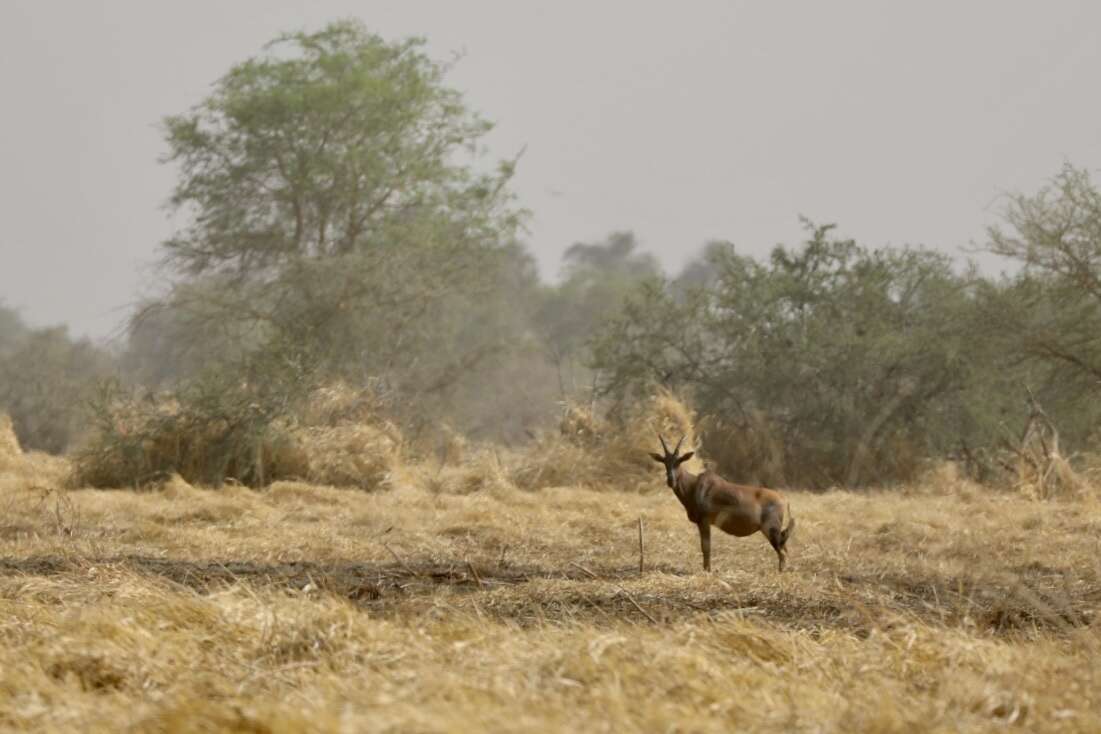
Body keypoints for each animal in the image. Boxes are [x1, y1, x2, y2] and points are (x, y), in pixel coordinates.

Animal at [647, 435, 797, 572]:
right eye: (664, 462)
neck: (695, 485)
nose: (670, 481)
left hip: (771, 529)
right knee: (784, 549)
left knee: (782, 552)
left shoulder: (705, 521)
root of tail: (783, 499)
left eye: (679, 461)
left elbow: (706, 547)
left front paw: (707, 570)